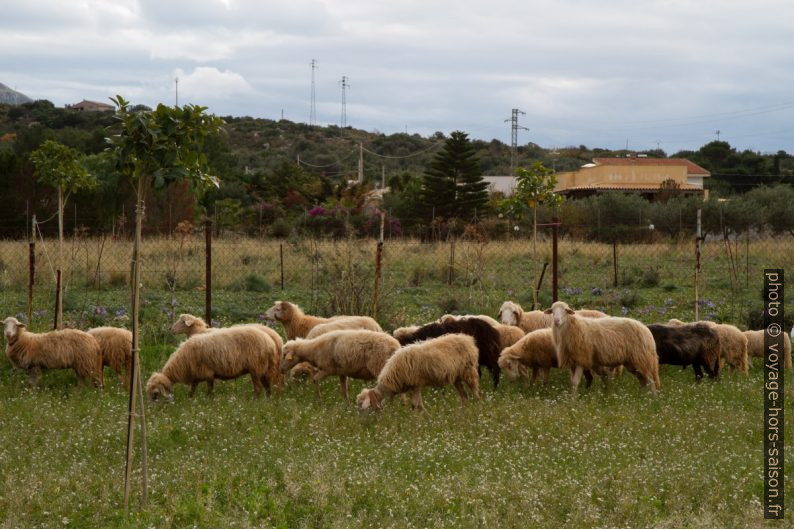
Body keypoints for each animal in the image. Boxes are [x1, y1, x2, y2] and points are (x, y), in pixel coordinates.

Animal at [147, 326, 280, 400]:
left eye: (155, 394)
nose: (153, 412)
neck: (182, 362)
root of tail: (270, 342)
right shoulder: (196, 375)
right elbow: (192, 390)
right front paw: (190, 400)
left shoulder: (208, 374)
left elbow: (209, 390)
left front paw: (208, 402)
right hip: (264, 368)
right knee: (267, 386)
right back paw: (268, 400)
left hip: (256, 367)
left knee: (258, 388)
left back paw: (255, 401)